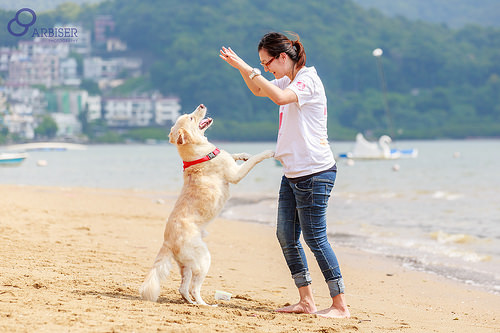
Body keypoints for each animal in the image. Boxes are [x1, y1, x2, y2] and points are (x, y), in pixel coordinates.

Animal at [140, 103, 274, 304]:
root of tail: (167, 242)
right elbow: (254, 159)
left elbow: (236, 155)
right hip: (203, 259)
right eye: (191, 118)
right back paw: (206, 305)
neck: (200, 154)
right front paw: (267, 152)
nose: (201, 105)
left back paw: (191, 303)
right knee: (194, 288)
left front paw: (243, 154)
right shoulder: (235, 175)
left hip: (186, 265)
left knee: (183, 288)